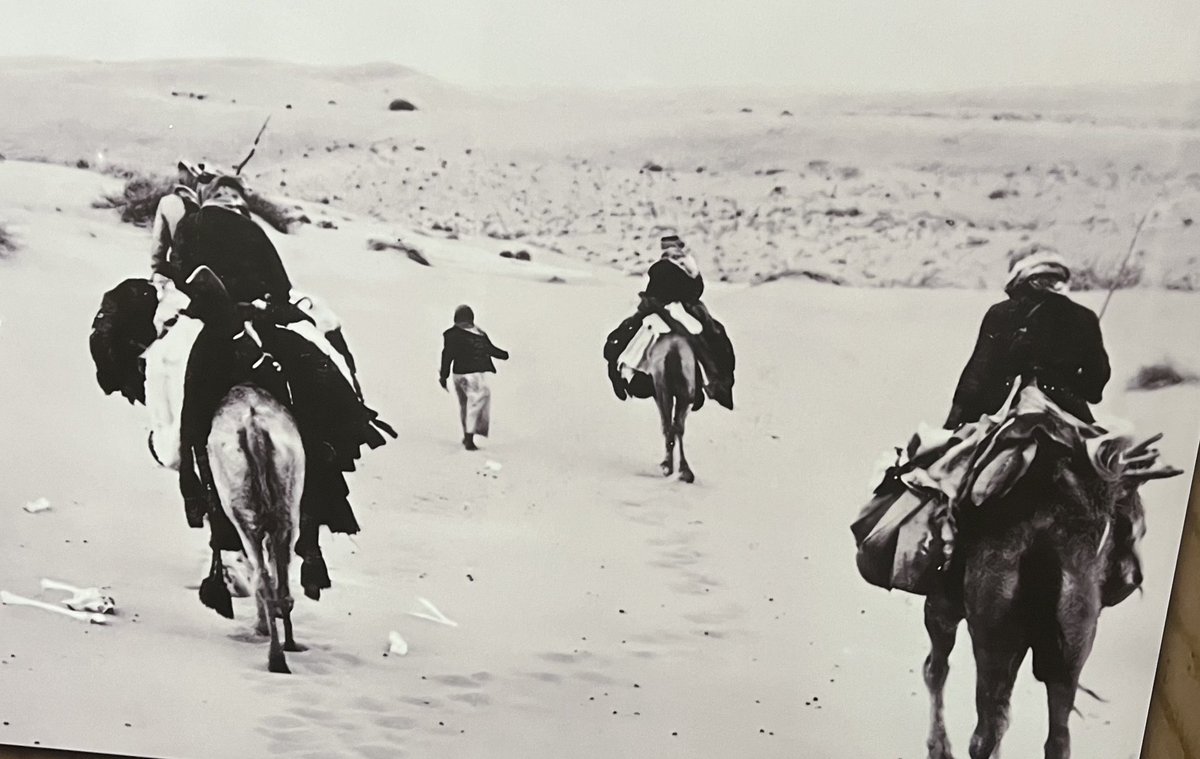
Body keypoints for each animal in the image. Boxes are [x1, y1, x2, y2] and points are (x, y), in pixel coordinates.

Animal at [206, 382, 307, 674]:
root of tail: (253, 428)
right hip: (287, 511)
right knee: (282, 587)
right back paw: (289, 646)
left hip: (243, 514)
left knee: (261, 578)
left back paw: (275, 655)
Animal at [646, 334, 698, 483]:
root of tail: (673, 353)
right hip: (682, 397)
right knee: (677, 427)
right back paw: (685, 471)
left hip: (667, 394)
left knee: (671, 426)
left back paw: (670, 467)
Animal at [921, 437, 1172, 759]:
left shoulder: (942, 607)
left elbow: (935, 670)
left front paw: (938, 747)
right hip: (1072, 644)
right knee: (1055, 737)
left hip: (991, 635)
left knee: (983, 731)